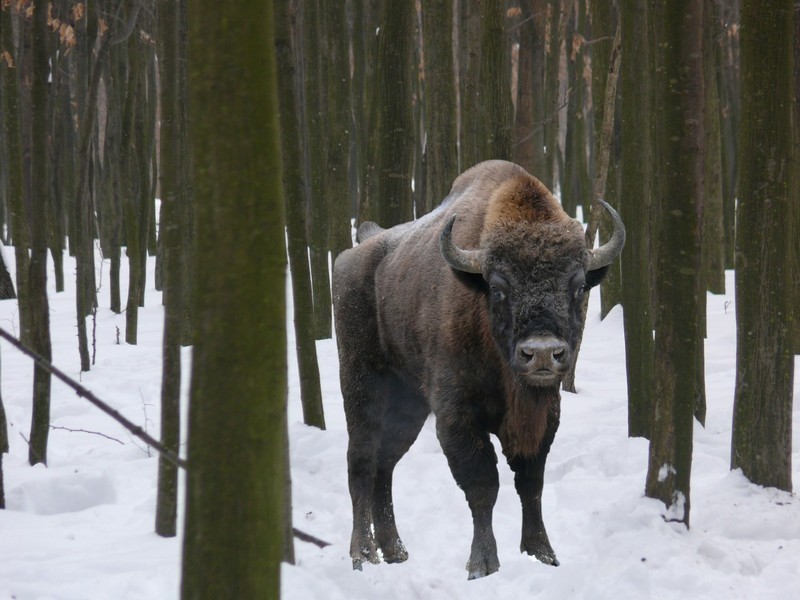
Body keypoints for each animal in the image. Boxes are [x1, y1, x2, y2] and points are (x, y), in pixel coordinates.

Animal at [332, 161, 624, 580]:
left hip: (409, 404)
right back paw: (363, 555)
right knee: (362, 459)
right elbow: (483, 484)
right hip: (360, 381)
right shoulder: (458, 418)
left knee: (385, 465)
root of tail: (356, 253)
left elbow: (531, 483)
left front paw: (543, 554)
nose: (541, 353)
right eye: (499, 287)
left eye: (579, 285)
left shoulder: (544, 418)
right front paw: (483, 564)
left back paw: (396, 552)